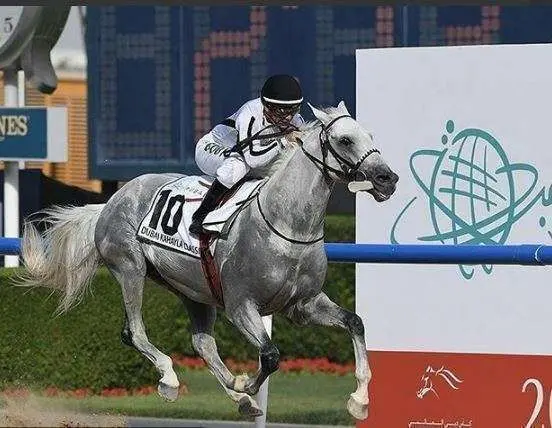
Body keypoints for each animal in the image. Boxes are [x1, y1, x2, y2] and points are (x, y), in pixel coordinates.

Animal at [17, 102, 396, 420]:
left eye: (371, 136)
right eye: (345, 139)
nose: (387, 179)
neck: (287, 226)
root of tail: (112, 200)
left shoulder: (303, 304)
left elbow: (355, 323)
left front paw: (359, 400)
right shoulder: (241, 305)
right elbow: (270, 355)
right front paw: (247, 383)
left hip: (193, 290)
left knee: (202, 343)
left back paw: (240, 398)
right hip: (130, 268)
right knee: (135, 331)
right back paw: (173, 379)